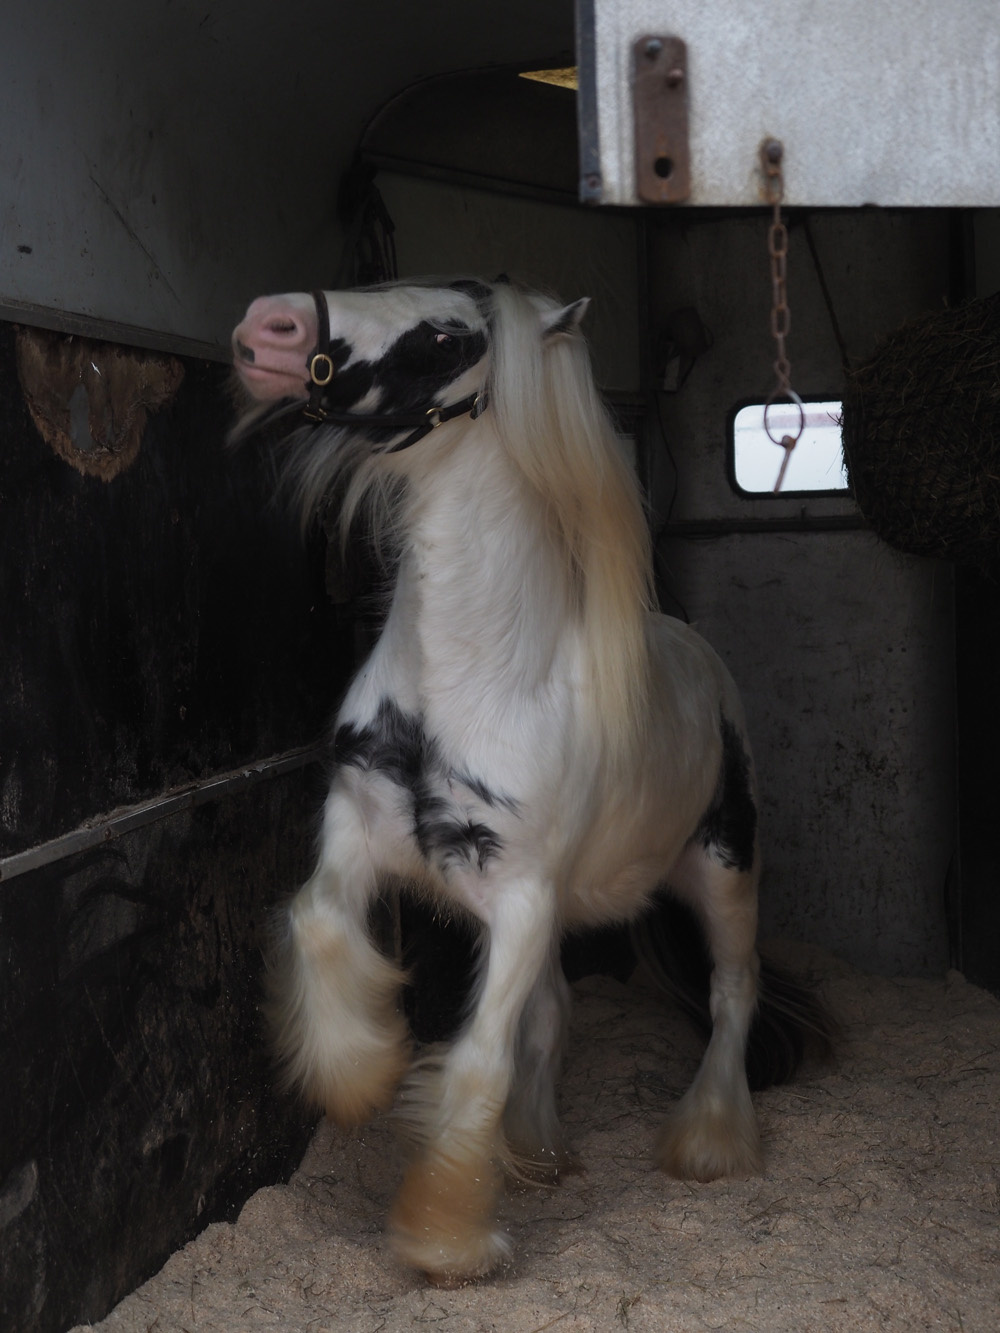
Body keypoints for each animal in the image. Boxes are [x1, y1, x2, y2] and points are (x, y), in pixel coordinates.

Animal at [230, 276, 831, 1284]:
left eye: (445, 336)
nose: (268, 325)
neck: (471, 682)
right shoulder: (357, 833)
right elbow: (315, 921)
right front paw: (360, 1069)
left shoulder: (519, 898)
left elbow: (480, 1058)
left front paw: (443, 1237)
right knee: (553, 1011)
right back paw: (541, 1151)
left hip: (724, 871)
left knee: (731, 990)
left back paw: (708, 1141)